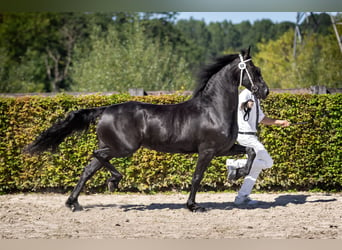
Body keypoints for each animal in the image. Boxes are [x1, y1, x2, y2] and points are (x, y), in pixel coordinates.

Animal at [25, 49, 268, 213]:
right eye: (254, 70)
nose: (264, 91)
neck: (212, 109)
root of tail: (105, 109)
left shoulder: (223, 148)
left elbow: (251, 153)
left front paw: (236, 173)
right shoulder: (207, 151)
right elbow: (197, 177)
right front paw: (192, 206)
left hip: (113, 146)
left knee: (88, 169)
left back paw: (73, 203)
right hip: (123, 148)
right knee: (96, 156)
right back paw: (113, 181)